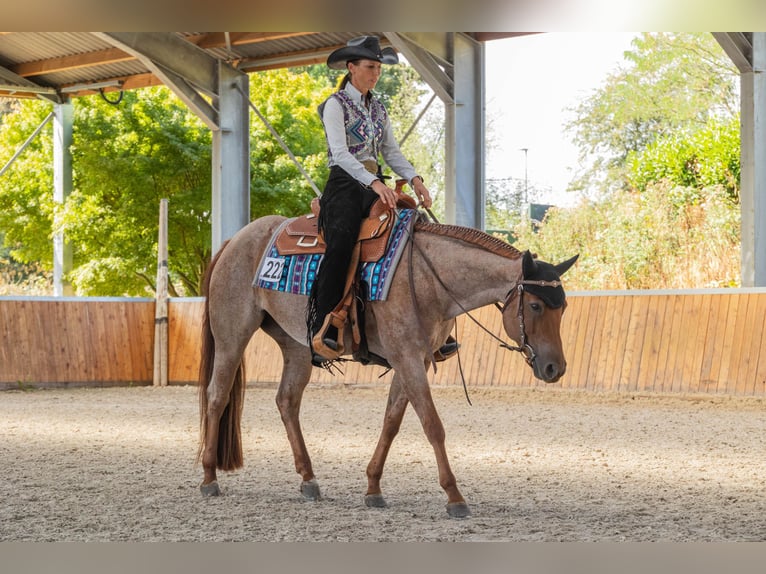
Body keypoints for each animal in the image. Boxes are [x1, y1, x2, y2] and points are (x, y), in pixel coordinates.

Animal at [197, 210, 578, 518]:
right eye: (535, 306)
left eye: (563, 308)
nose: (555, 368)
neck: (428, 278)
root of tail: (233, 241)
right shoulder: (407, 358)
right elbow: (432, 425)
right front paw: (454, 496)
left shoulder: (413, 359)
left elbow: (392, 422)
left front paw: (373, 487)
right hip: (232, 335)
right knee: (217, 395)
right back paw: (209, 477)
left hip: (297, 345)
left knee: (287, 401)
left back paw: (308, 479)